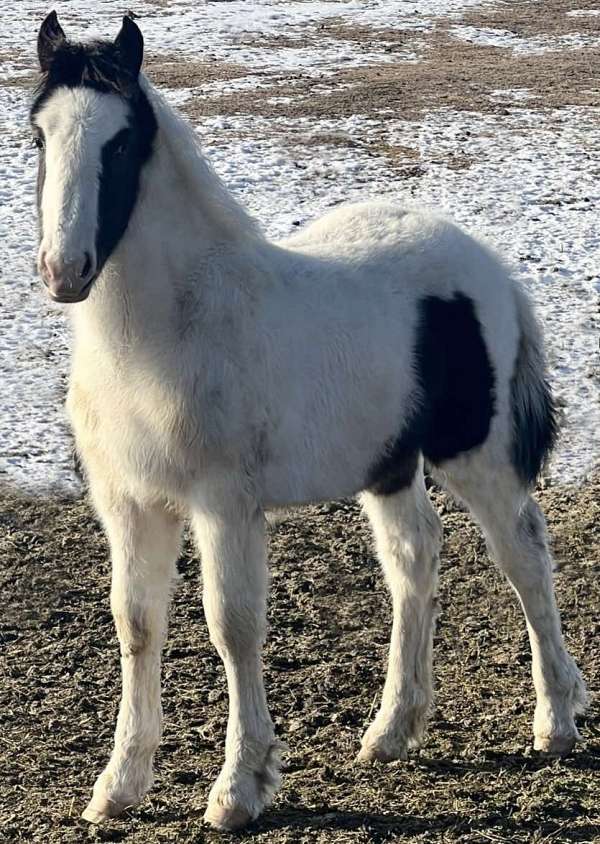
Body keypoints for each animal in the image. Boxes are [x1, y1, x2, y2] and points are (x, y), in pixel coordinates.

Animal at [31, 11, 584, 832]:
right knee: (415, 557)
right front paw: (120, 786)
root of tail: (488, 265)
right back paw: (391, 731)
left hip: (474, 455)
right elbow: (136, 622)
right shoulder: (129, 503)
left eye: (122, 141)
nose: (64, 271)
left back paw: (556, 720)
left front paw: (239, 789)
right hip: (388, 464)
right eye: (38, 135)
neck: (171, 328)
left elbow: (232, 625)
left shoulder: (223, 504)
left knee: (524, 554)